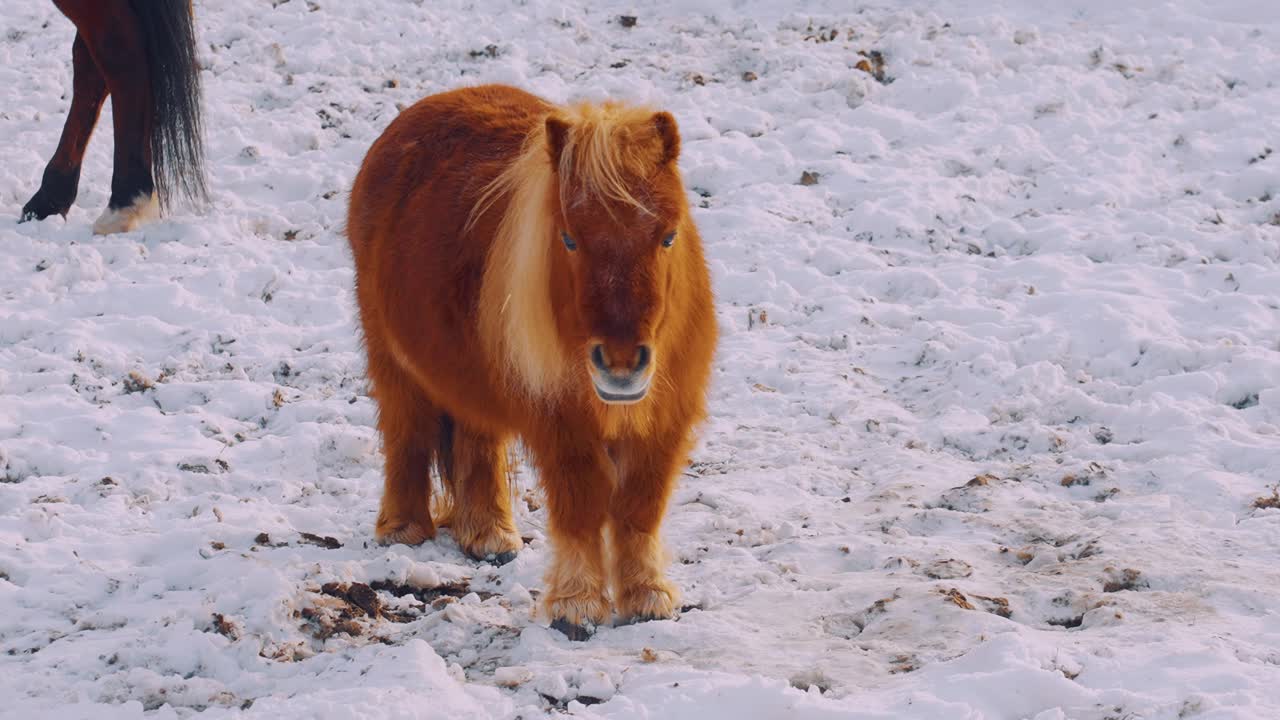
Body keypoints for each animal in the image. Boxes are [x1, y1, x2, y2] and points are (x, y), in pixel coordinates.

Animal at [347, 84, 717, 640]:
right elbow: (582, 505)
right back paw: (403, 530)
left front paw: (648, 599)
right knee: (405, 431)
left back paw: (490, 536)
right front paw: (577, 607)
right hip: (391, 359)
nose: (622, 364)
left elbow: (640, 508)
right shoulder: (561, 425)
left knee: (477, 440)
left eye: (668, 235)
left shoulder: (663, 424)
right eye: (568, 238)